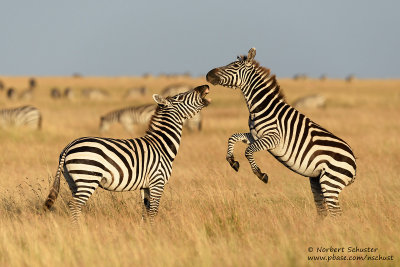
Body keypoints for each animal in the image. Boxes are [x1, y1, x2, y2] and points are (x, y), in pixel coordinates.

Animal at [43, 85, 211, 225]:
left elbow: (145, 210)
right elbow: (153, 210)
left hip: (73, 180)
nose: (204, 86)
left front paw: (145, 230)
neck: (162, 145)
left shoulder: (146, 185)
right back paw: (78, 230)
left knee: (74, 205)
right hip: (88, 178)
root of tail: (69, 146)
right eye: (180, 96)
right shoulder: (158, 181)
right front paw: (154, 231)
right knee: (74, 205)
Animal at [206, 47, 356, 218]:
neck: (261, 106)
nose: (208, 74)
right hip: (317, 181)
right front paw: (232, 161)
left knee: (336, 213)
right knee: (323, 211)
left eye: (234, 66)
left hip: (330, 182)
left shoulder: (273, 138)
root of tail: (354, 162)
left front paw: (260, 174)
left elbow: (248, 151)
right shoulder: (255, 136)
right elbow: (233, 137)